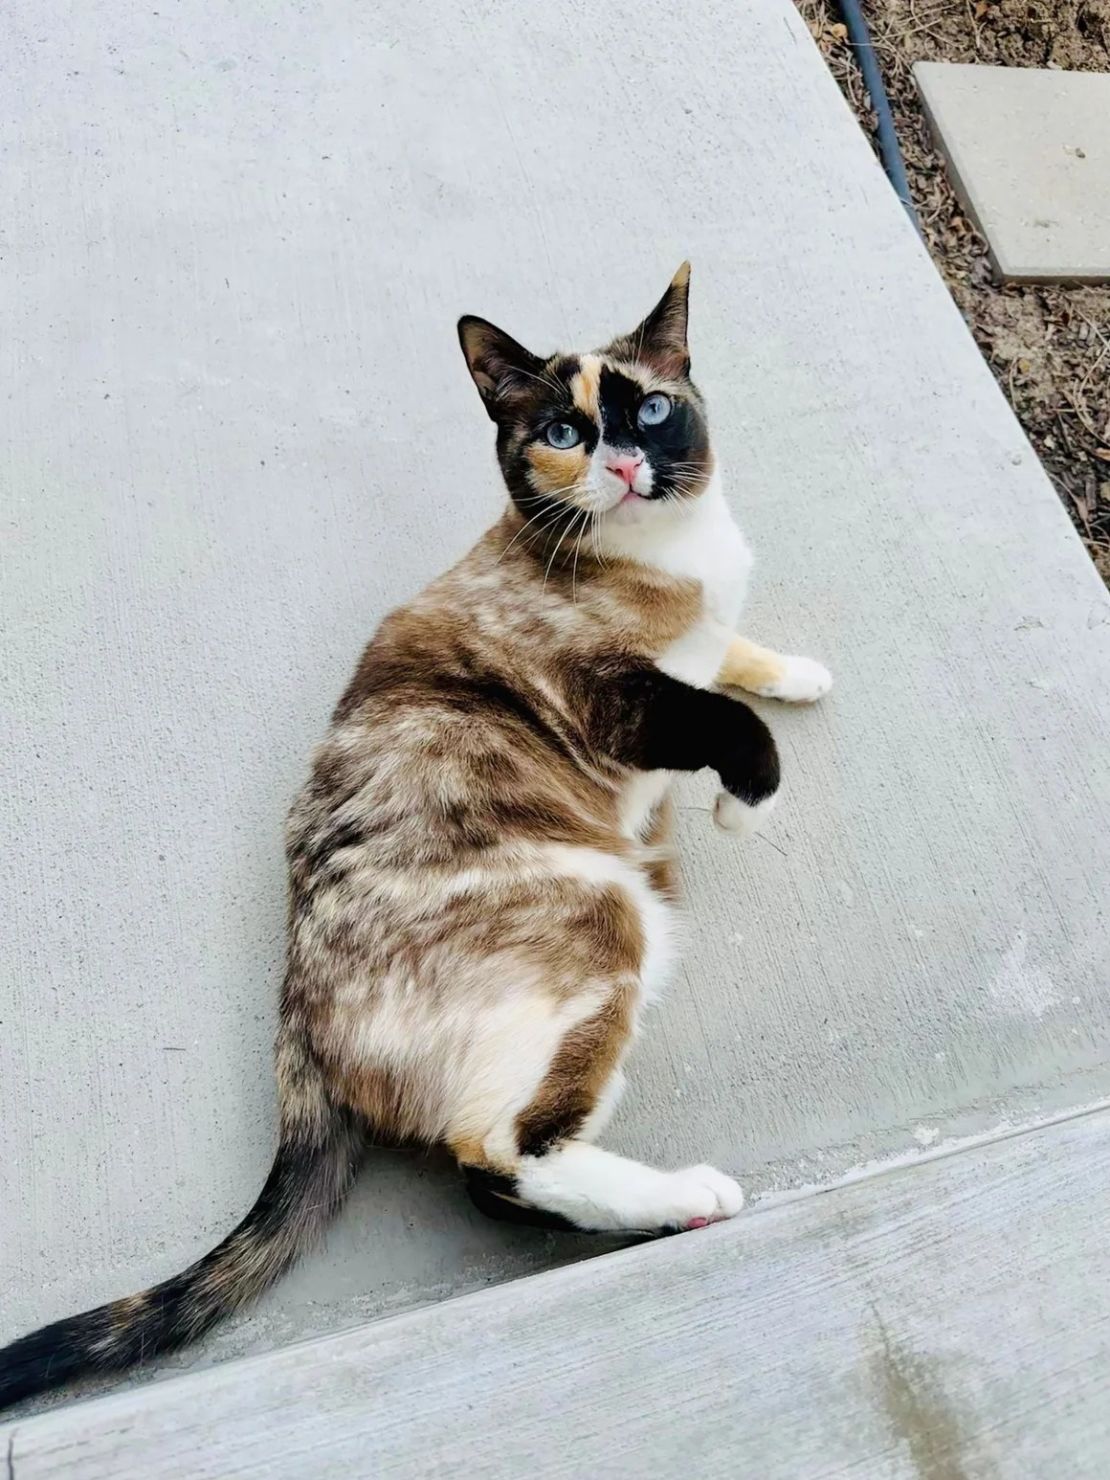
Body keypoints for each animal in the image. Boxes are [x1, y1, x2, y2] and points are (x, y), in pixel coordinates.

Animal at [0, 266, 828, 1408]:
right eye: (564, 429)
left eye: (653, 409)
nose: (623, 463)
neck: (668, 556)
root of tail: (294, 1017)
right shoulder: (613, 699)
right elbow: (723, 720)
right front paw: (747, 798)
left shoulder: (699, 639)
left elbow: (734, 661)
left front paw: (798, 671)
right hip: (601, 913)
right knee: (497, 1155)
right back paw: (686, 1199)